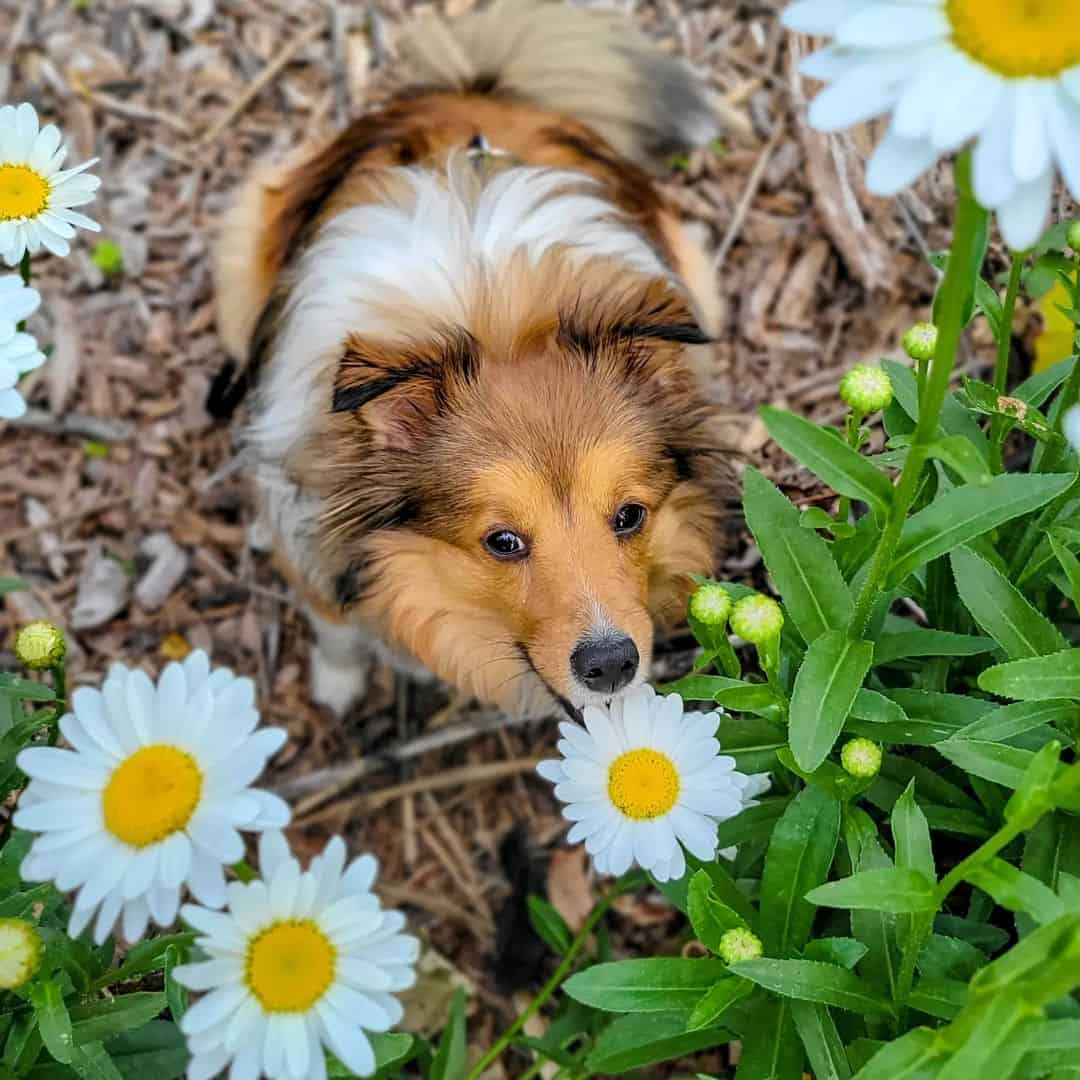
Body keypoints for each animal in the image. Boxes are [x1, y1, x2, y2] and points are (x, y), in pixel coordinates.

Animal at [208, 2, 734, 725]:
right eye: (502, 541)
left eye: (630, 516)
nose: (611, 666)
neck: (493, 318)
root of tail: (478, 90)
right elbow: (334, 627)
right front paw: (337, 685)